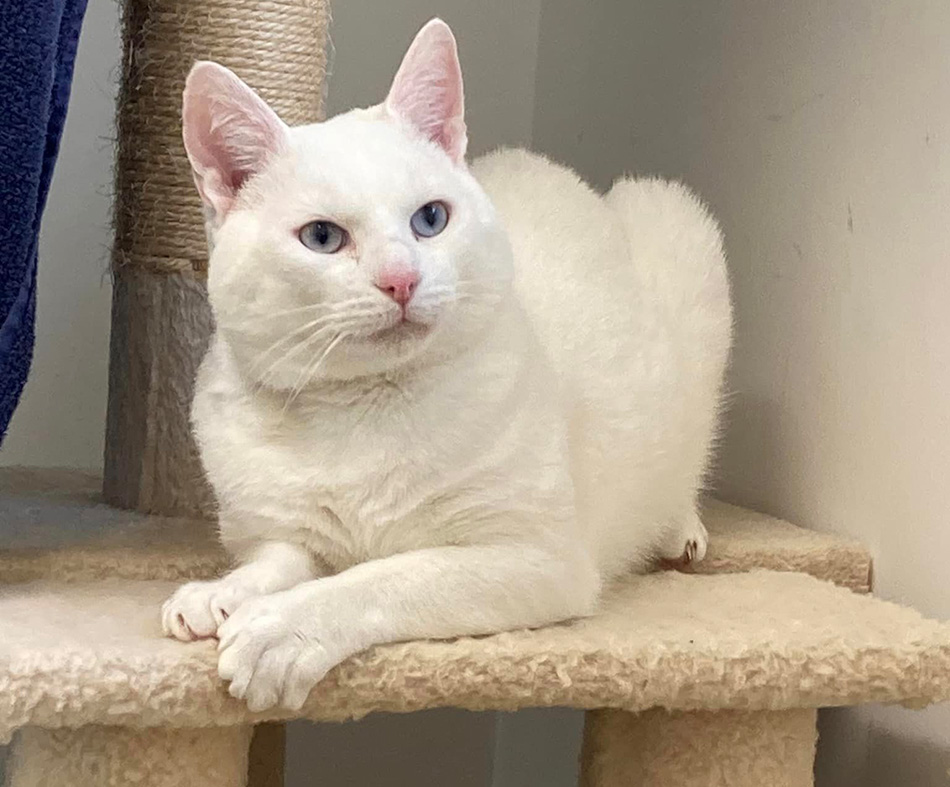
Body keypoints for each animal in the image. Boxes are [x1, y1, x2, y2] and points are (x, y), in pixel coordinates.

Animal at [164, 18, 732, 716]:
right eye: (322, 237)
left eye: (430, 219)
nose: (401, 280)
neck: (363, 410)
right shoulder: (284, 534)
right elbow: (279, 560)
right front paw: (220, 593)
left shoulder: (535, 559)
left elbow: (386, 576)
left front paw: (281, 627)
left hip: (681, 231)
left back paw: (683, 528)